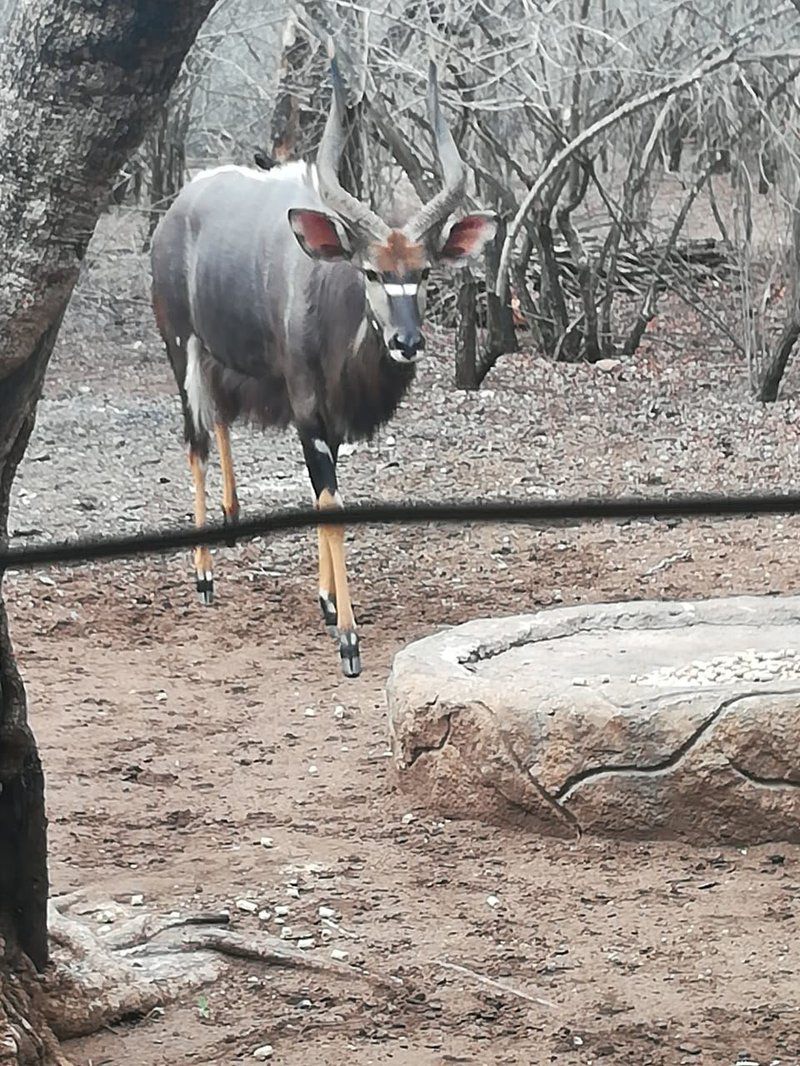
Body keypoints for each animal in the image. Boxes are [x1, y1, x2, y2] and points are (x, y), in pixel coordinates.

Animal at [151, 56, 494, 673]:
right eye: (371, 272)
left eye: (424, 272)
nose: (407, 340)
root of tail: (175, 212)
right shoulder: (308, 406)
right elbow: (330, 500)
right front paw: (349, 639)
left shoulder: (327, 419)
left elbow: (321, 495)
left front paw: (328, 602)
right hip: (179, 346)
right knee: (196, 441)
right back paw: (204, 574)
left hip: (217, 358)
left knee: (219, 421)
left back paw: (233, 521)